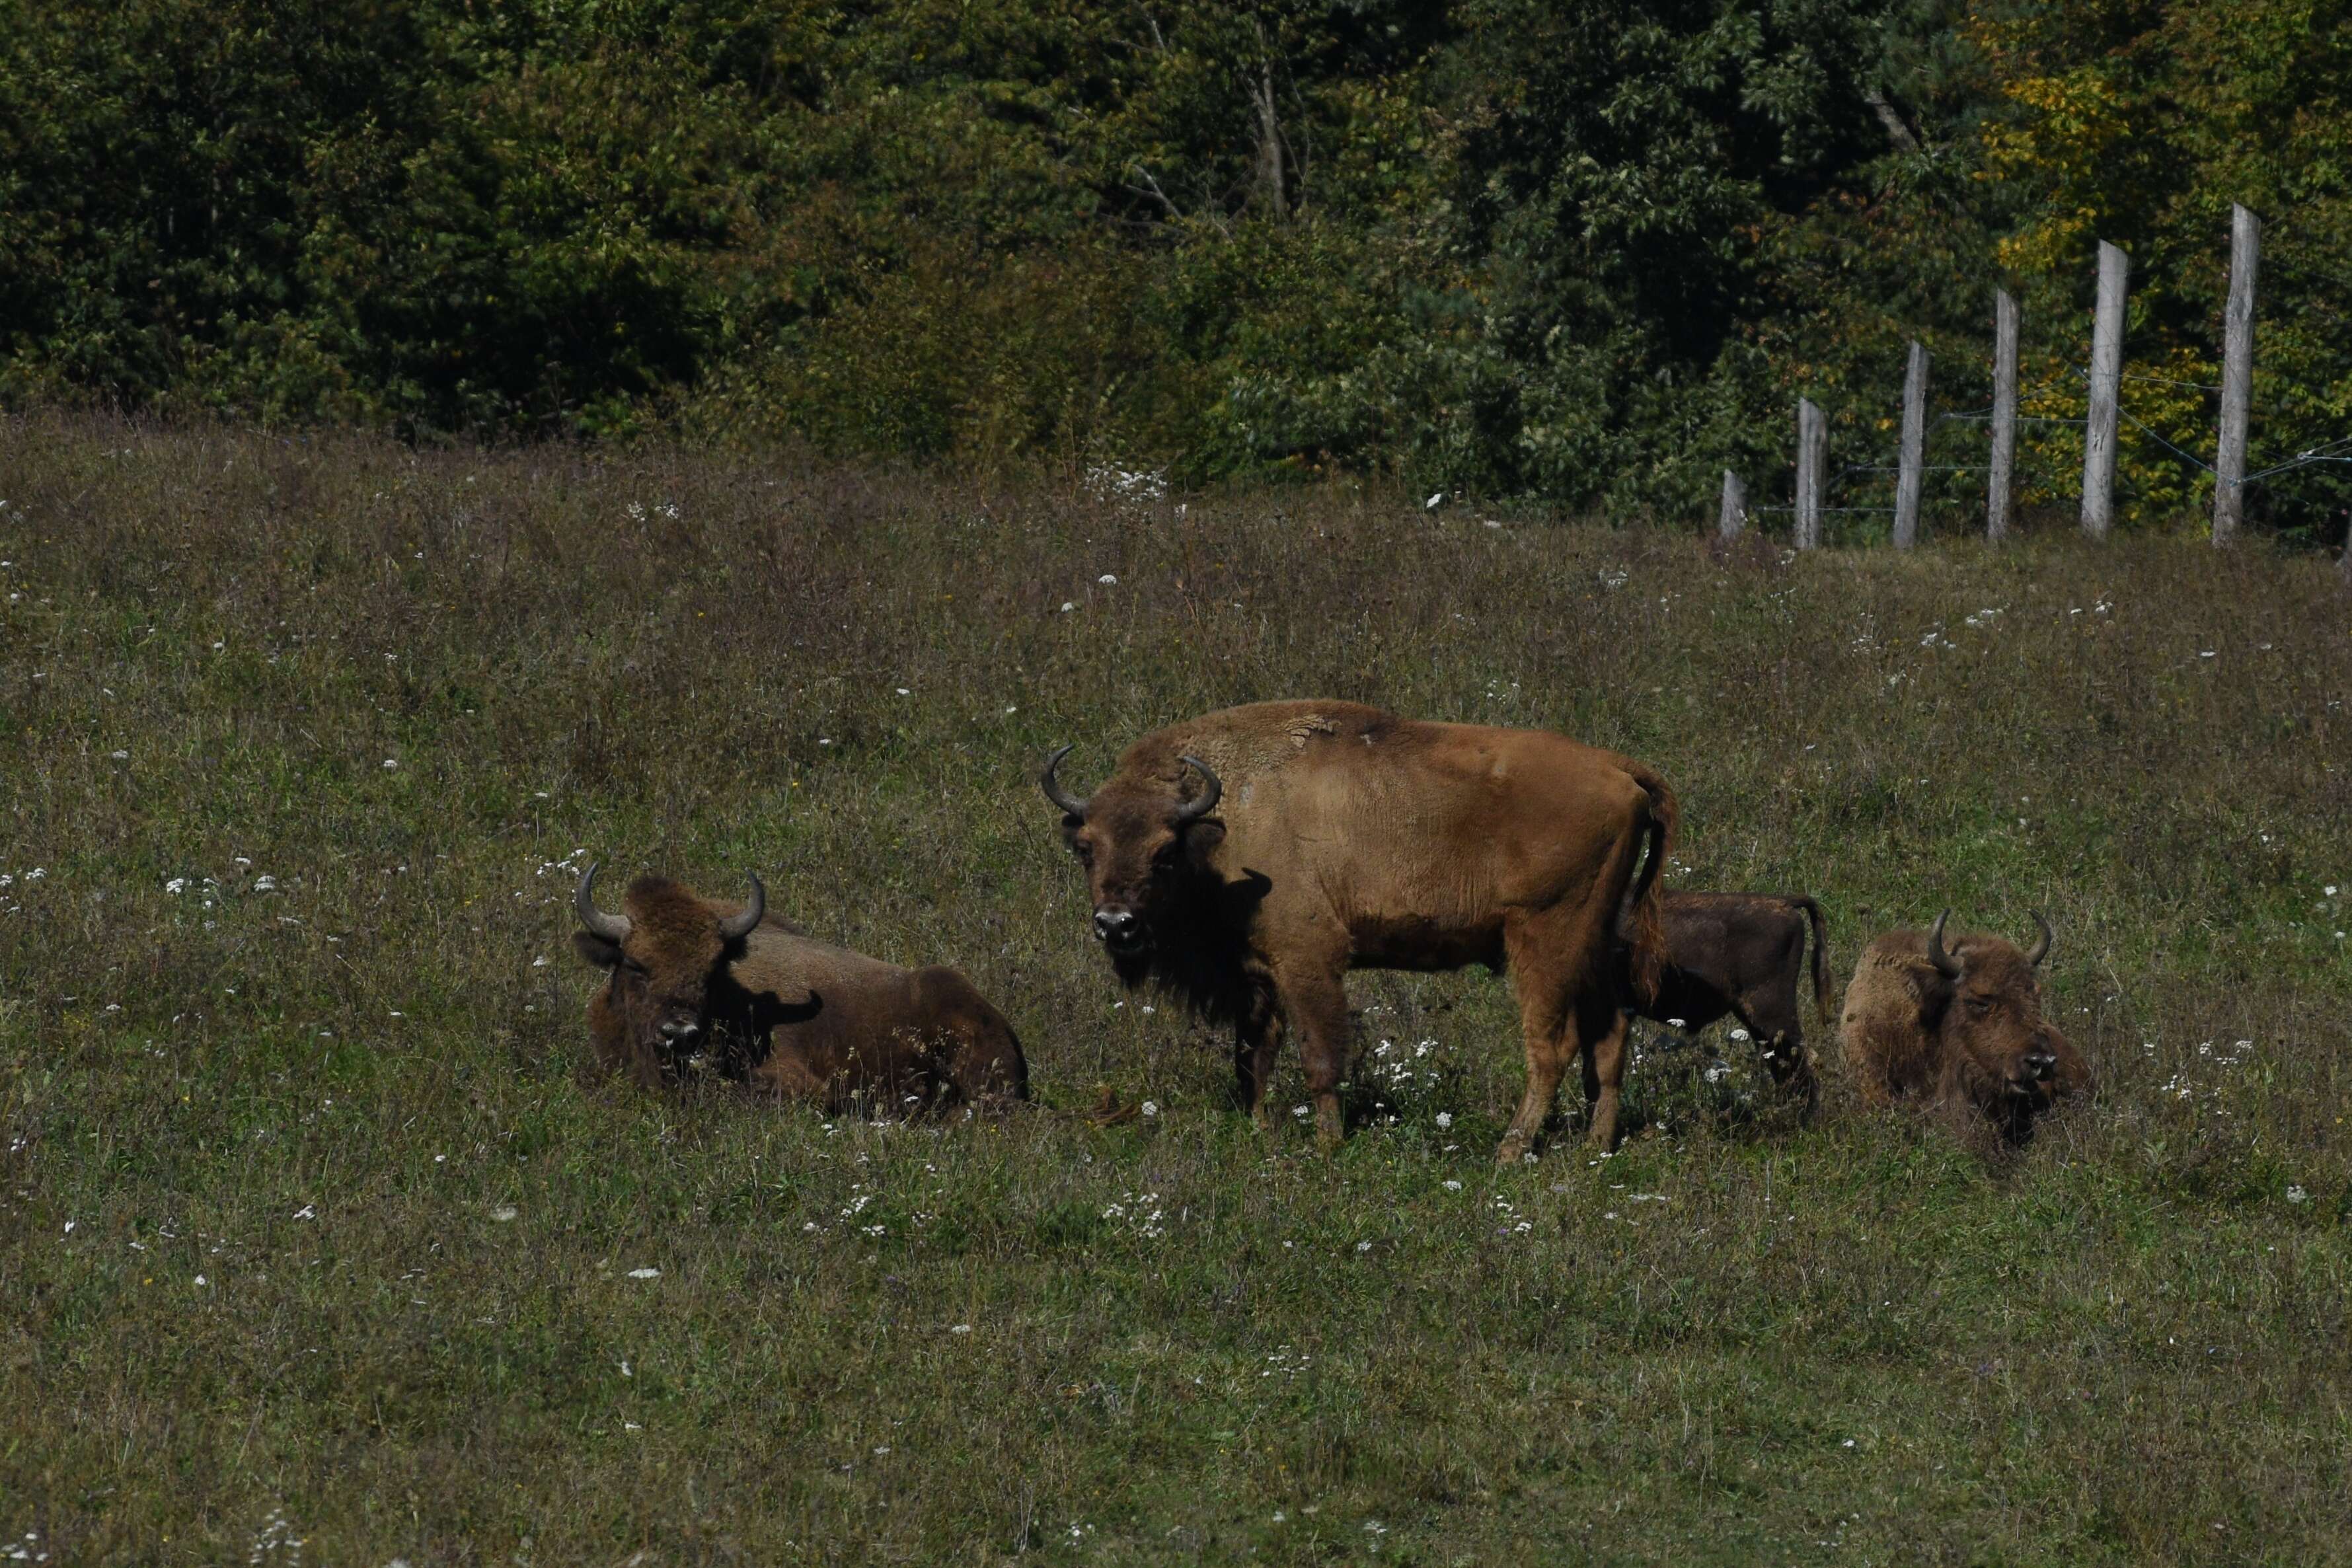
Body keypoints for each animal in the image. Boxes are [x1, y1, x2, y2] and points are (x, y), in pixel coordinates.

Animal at [1044, 705, 1675, 1161]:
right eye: (1086, 848)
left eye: (1164, 853)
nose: (1115, 923)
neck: (1225, 824)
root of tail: (1619, 768)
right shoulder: (1257, 975)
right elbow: (1253, 1056)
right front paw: (1259, 1131)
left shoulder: (1308, 959)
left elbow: (1318, 1057)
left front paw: (1328, 1145)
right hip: (1592, 941)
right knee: (1610, 1034)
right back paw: (1595, 1147)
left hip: (1544, 940)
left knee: (1552, 1046)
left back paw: (1509, 1150)